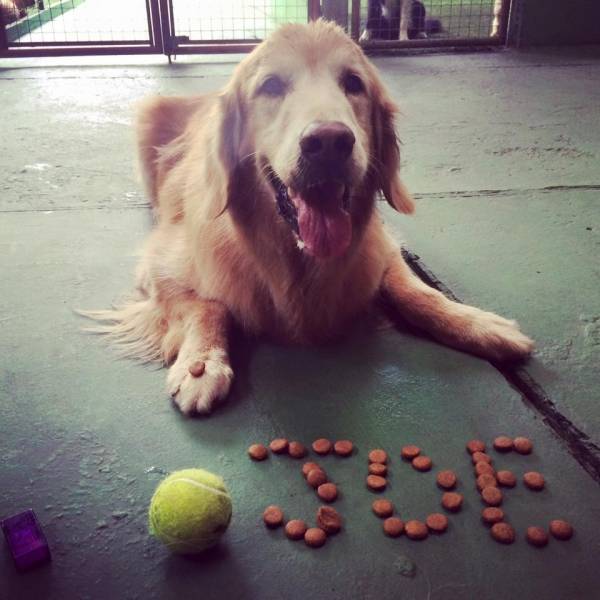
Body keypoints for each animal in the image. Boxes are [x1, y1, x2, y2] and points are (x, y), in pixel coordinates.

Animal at [86, 17, 532, 412]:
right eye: (271, 85)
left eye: (353, 83)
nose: (329, 142)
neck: (295, 263)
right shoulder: (159, 263)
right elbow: (208, 305)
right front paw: (202, 365)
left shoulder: (381, 247)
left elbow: (417, 292)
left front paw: (479, 324)